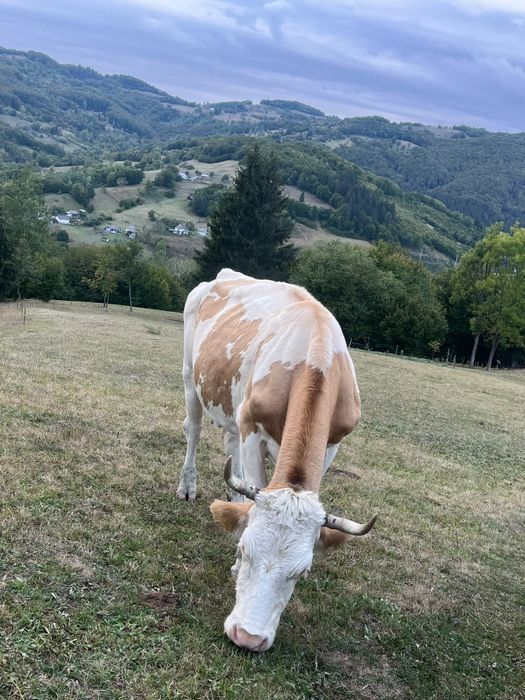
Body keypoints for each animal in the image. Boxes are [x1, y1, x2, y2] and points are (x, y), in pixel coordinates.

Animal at [177, 268, 376, 652]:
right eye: (245, 550)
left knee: (228, 441)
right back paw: (187, 485)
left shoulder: (331, 444)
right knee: (193, 428)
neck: (313, 357)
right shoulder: (252, 429)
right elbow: (254, 483)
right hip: (191, 375)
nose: (248, 637)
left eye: (302, 572)